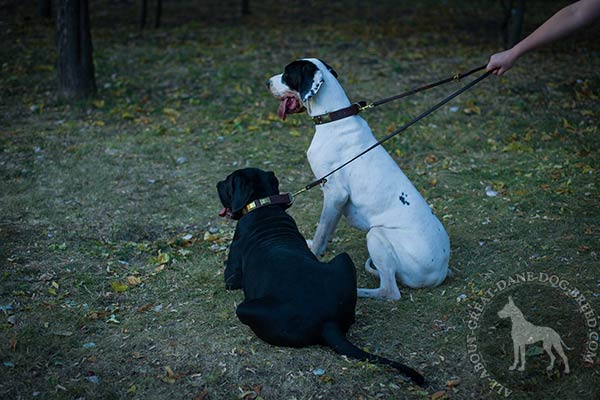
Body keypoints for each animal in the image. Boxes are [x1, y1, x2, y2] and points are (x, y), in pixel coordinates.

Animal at [218, 167, 424, 386]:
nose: (217, 184)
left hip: (245, 309)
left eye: (228, 182)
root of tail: (328, 324)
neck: (262, 204)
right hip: (344, 260)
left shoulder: (231, 277)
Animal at [268, 57, 450, 298]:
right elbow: (326, 231)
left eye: (287, 74)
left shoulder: (335, 194)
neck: (334, 119)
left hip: (376, 235)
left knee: (389, 291)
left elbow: (321, 231)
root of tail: (441, 272)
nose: (267, 83)